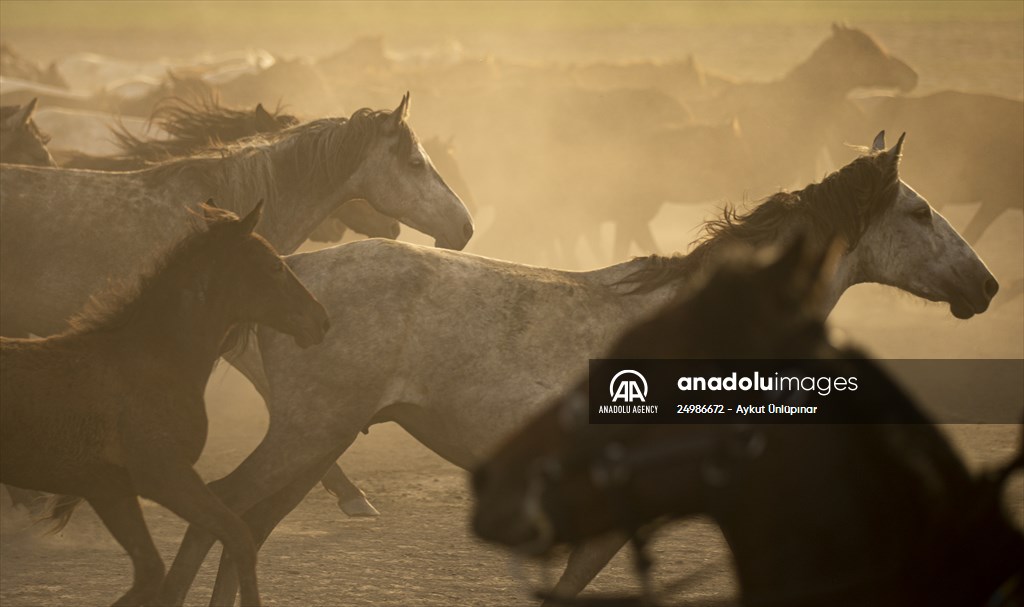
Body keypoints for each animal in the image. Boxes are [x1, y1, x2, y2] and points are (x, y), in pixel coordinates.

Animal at [0, 201, 329, 607]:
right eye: (275, 267)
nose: (321, 320)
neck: (156, 360)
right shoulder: (165, 477)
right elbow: (238, 536)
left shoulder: (110, 490)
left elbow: (150, 575)